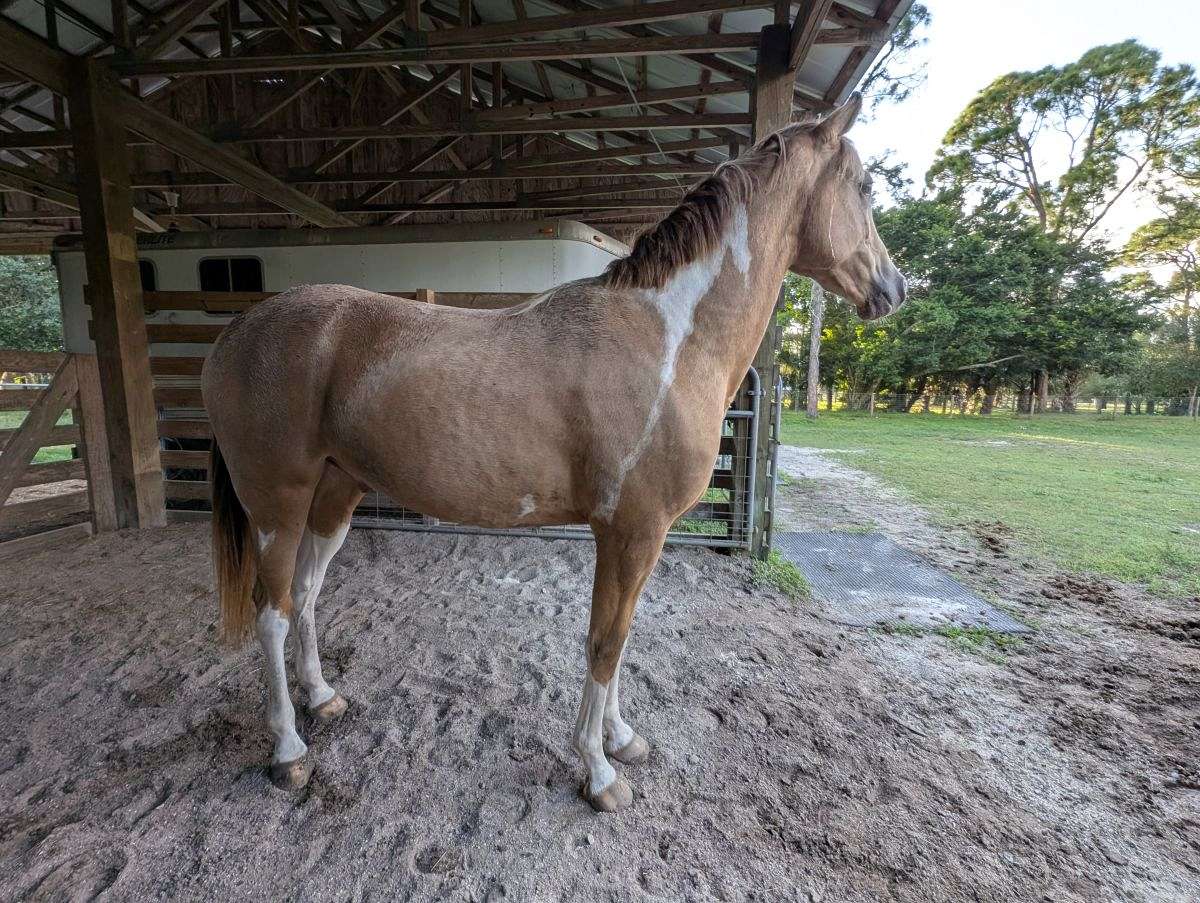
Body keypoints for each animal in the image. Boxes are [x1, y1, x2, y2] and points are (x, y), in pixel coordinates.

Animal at [202, 92, 905, 813]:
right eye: (863, 186)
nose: (894, 287)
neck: (668, 339)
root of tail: (237, 330)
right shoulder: (630, 531)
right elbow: (605, 640)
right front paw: (599, 770)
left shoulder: (638, 536)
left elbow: (621, 636)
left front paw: (622, 739)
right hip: (277, 504)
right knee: (271, 613)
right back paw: (288, 750)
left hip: (335, 493)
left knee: (306, 594)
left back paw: (322, 697)